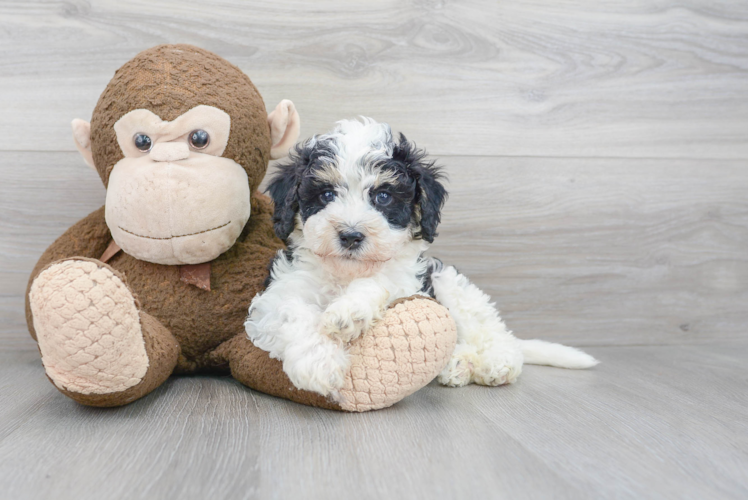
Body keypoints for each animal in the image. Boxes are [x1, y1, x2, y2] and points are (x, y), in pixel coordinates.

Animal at [244, 118, 596, 398]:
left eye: (383, 196)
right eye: (326, 194)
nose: (351, 235)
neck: (346, 273)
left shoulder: (409, 286)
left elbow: (379, 282)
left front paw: (349, 312)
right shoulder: (278, 294)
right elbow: (292, 312)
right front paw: (319, 364)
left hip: (450, 283)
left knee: (491, 330)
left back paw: (496, 362)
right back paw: (458, 364)